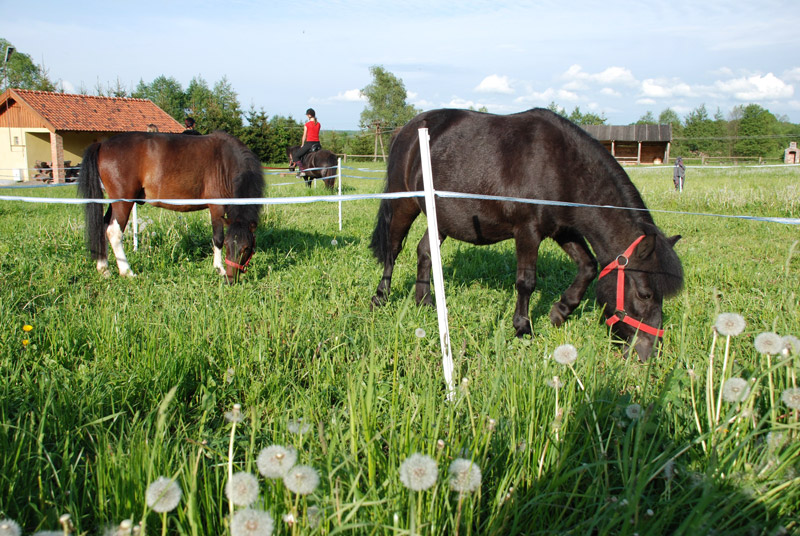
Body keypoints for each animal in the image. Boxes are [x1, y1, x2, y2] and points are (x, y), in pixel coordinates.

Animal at [76, 131, 262, 280]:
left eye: (246, 248)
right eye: (229, 245)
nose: (231, 279)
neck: (227, 162)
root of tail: (102, 144)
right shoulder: (217, 207)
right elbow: (218, 238)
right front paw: (219, 268)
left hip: (114, 203)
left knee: (103, 226)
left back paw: (104, 268)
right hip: (123, 203)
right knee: (114, 232)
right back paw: (127, 271)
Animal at [372, 108, 684, 360]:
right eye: (645, 294)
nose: (648, 353)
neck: (561, 166)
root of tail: (406, 130)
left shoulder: (563, 230)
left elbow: (588, 267)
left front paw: (560, 311)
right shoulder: (528, 232)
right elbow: (526, 282)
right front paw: (523, 327)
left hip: (441, 219)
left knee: (424, 251)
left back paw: (424, 301)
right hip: (403, 205)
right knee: (393, 248)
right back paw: (381, 296)